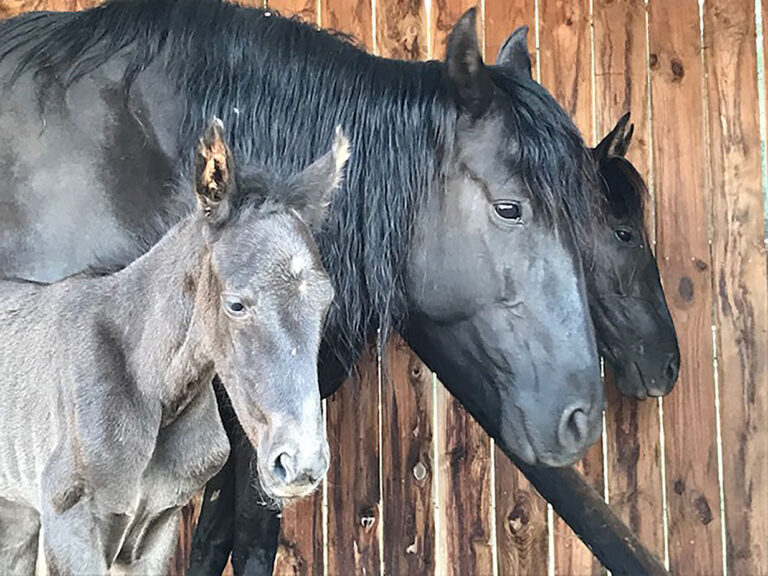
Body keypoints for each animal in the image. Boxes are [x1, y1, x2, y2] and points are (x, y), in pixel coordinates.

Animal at [0, 120, 345, 574]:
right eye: (236, 304)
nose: (300, 465)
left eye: (326, 301)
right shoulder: (68, 524)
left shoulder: (156, 529)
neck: (151, 392)